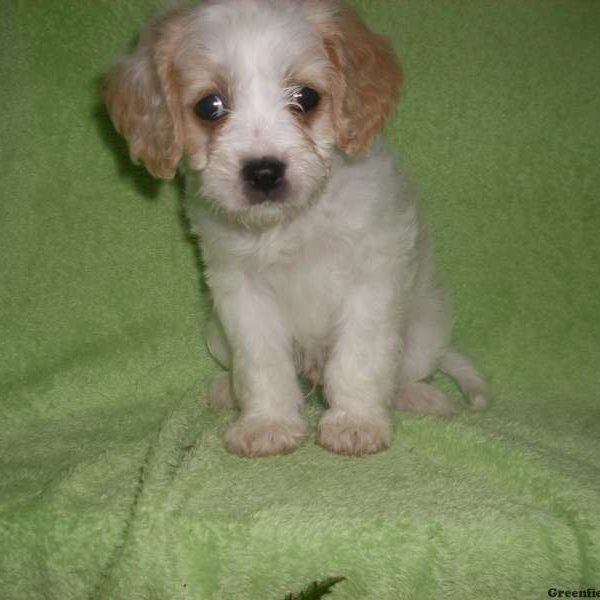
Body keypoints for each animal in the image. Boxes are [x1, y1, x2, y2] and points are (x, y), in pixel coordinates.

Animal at [104, 0, 488, 454]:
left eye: (305, 97)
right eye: (210, 106)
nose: (264, 172)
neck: (291, 223)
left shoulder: (372, 278)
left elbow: (360, 356)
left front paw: (356, 422)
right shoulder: (240, 289)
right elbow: (262, 363)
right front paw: (267, 423)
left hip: (427, 332)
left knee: (404, 372)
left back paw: (420, 397)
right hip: (215, 333)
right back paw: (227, 389)